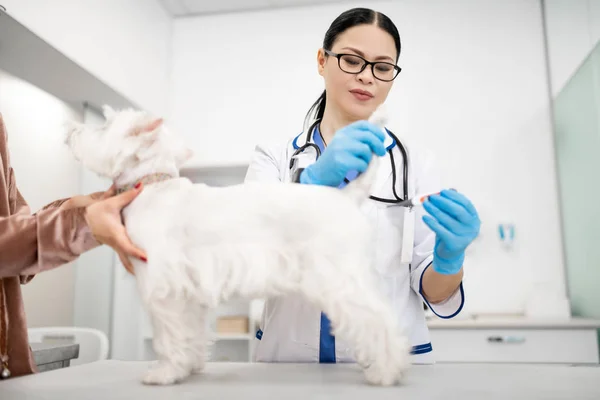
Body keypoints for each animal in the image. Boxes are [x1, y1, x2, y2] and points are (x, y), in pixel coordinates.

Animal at [67, 106, 412, 388]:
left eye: (103, 125)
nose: (70, 131)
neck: (153, 185)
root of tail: (345, 197)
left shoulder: (162, 288)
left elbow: (168, 336)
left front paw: (164, 373)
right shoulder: (189, 291)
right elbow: (191, 332)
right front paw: (190, 367)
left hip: (340, 278)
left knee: (378, 319)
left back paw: (386, 371)